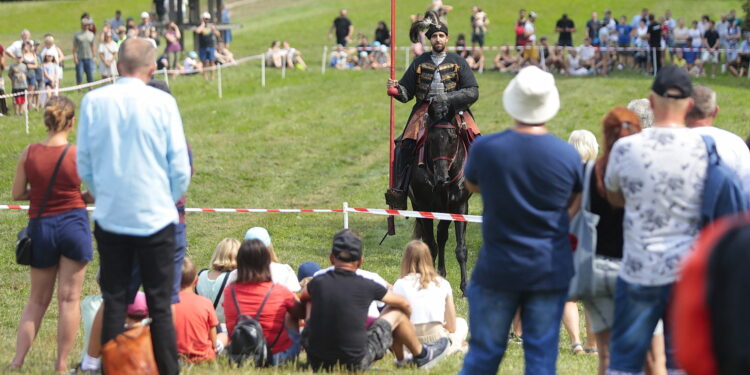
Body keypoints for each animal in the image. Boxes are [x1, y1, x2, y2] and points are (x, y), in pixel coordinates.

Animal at [408, 100, 472, 294]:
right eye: (431, 139)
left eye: (453, 138)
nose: (441, 177)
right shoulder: (423, 207)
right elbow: (430, 246)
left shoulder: (460, 207)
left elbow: (460, 249)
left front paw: (465, 287)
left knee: (442, 235)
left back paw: (442, 273)